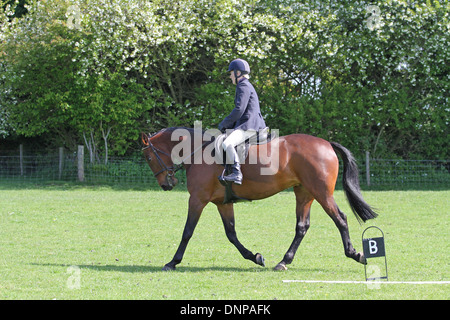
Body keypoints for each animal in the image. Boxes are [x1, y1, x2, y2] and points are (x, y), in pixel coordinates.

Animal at [141, 127, 376, 270]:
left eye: (149, 157)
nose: (167, 185)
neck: (199, 153)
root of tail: (326, 143)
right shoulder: (223, 203)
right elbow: (231, 234)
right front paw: (255, 256)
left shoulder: (197, 200)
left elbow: (187, 232)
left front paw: (172, 262)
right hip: (304, 193)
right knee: (302, 226)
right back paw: (284, 261)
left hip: (322, 193)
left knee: (340, 219)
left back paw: (355, 254)